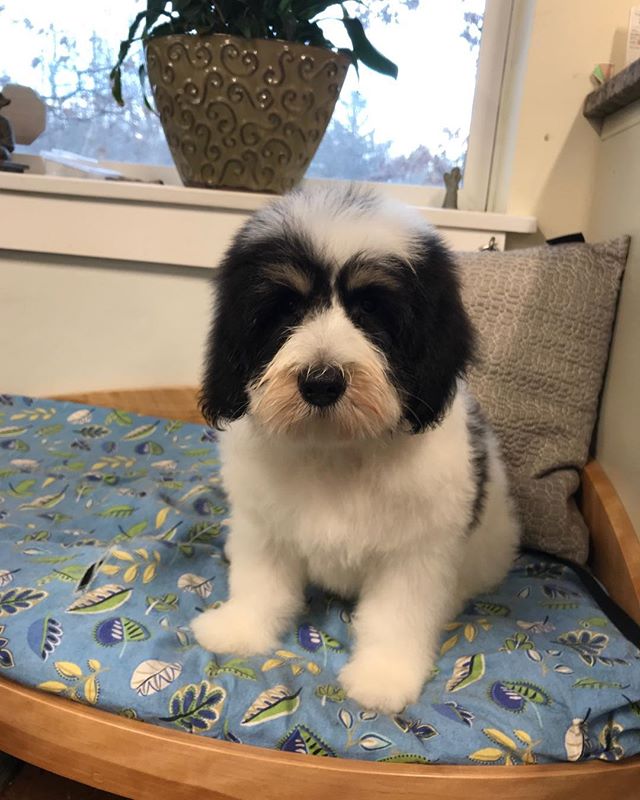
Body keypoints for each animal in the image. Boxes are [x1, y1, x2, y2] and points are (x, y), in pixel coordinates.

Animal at [191, 186, 520, 712]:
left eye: (371, 309)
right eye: (286, 309)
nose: (322, 382)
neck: (337, 447)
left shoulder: (415, 551)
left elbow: (395, 615)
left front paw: (384, 677)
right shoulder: (264, 526)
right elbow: (262, 582)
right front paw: (240, 628)